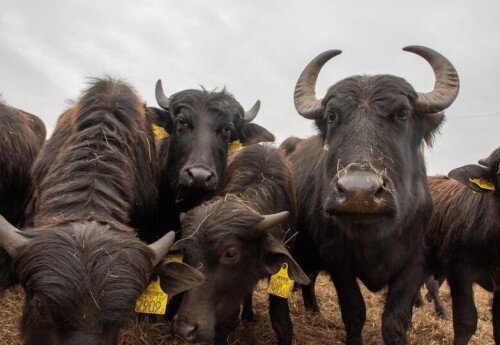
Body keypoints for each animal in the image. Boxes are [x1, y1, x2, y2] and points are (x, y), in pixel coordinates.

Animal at [284, 46, 458, 344]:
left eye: (403, 113)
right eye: (332, 116)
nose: (359, 193)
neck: (374, 230)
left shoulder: (416, 261)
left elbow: (395, 320)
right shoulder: (338, 259)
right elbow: (354, 312)